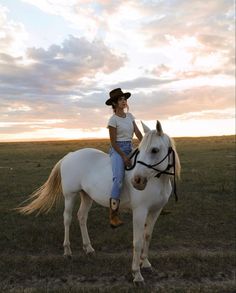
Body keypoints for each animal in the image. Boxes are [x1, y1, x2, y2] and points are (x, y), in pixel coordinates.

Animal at [18, 120, 181, 282]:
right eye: (140, 150)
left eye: (154, 150)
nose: (137, 181)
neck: (158, 180)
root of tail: (70, 155)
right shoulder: (139, 212)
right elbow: (138, 241)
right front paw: (137, 274)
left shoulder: (155, 211)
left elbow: (147, 236)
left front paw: (146, 263)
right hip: (70, 195)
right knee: (67, 219)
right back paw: (67, 251)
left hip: (86, 196)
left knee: (82, 217)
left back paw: (88, 248)